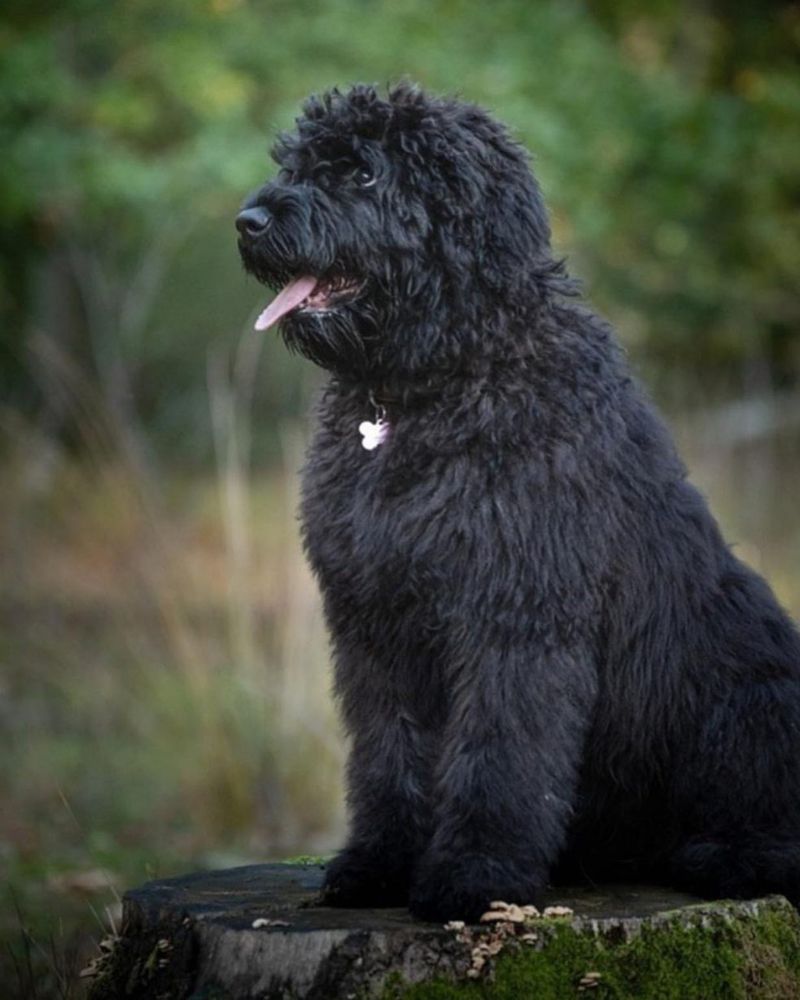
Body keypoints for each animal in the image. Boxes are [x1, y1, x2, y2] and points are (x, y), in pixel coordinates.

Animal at [236, 86, 800, 920]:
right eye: (297, 163)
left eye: (364, 173)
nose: (249, 221)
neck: (434, 383)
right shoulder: (377, 622)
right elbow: (389, 754)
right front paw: (378, 864)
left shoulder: (517, 616)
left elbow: (499, 758)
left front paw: (475, 877)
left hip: (746, 706)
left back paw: (725, 856)